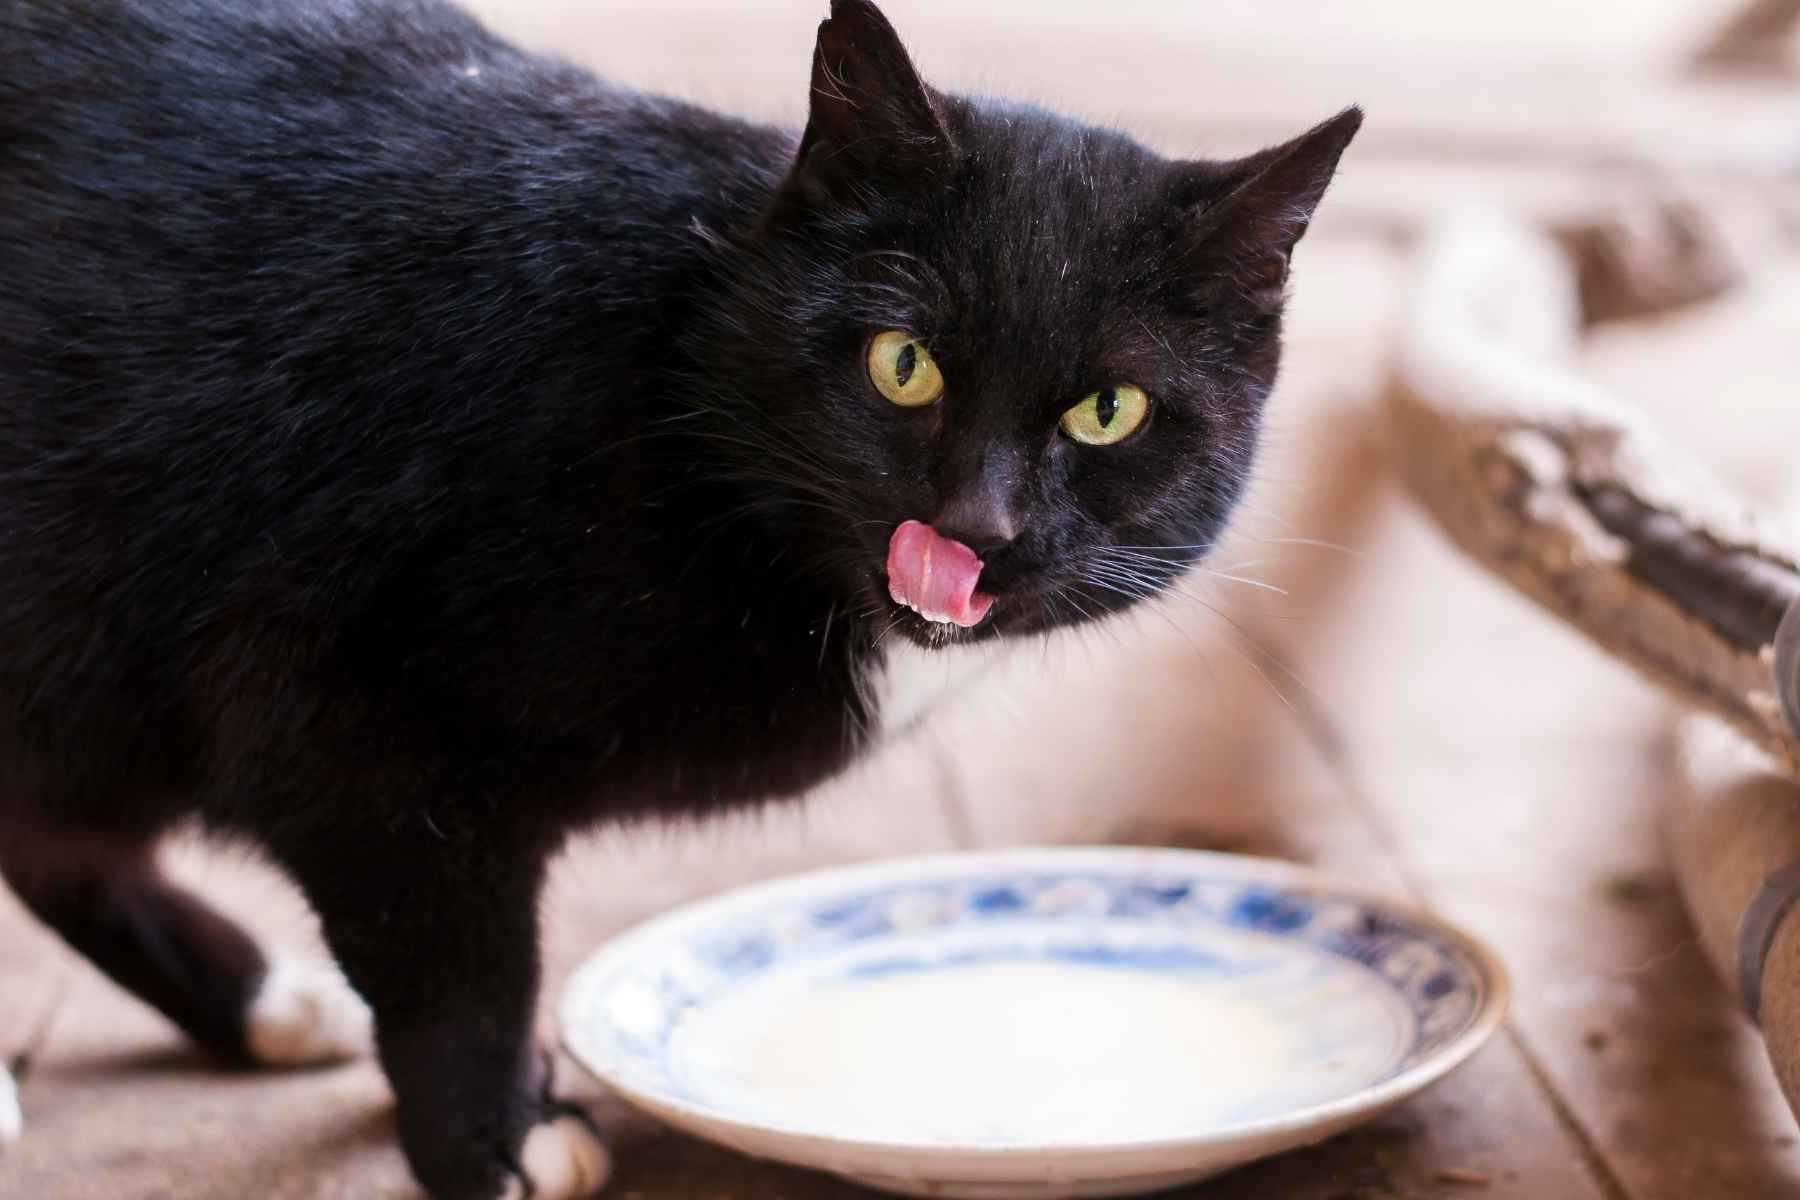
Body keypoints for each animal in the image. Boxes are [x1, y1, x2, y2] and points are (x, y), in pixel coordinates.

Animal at [0, 0, 1353, 1194]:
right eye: (903, 363)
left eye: (1108, 411)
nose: (974, 527)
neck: (672, 376)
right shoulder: (348, 718)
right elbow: (455, 969)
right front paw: (494, 1144)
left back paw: (262, 1002)